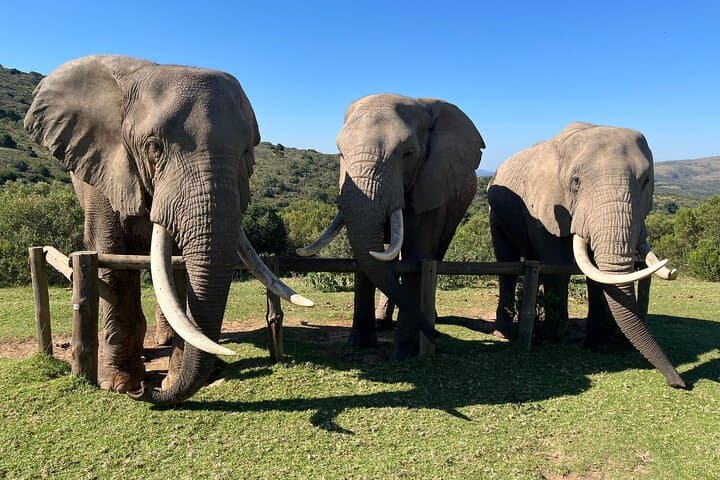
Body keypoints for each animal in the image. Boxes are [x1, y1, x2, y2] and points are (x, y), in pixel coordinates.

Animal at [24, 55, 312, 405]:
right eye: (154, 148)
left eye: (247, 153)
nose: (146, 390)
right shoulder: (104, 167)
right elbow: (111, 258)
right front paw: (119, 384)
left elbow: (179, 265)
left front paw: (176, 377)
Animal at [298, 94, 485, 359]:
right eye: (340, 154)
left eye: (408, 154)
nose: (434, 336)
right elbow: (366, 259)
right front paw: (360, 343)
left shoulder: (431, 185)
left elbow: (417, 256)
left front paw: (404, 353)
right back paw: (384, 322)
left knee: (434, 254)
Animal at [487, 122, 685, 388]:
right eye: (576, 182)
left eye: (646, 181)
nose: (679, 382)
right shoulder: (545, 206)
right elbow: (557, 265)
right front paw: (555, 338)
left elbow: (597, 274)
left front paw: (598, 343)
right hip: (497, 214)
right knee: (507, 262)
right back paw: (508, 333)